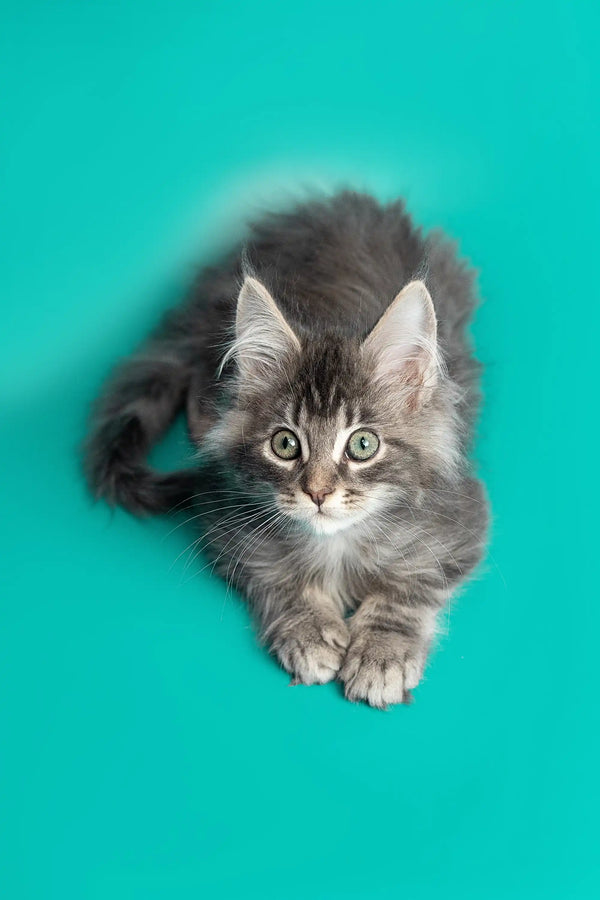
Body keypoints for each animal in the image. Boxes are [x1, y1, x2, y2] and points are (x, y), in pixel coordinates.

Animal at [84, 192, 488, 712]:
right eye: (285, 444)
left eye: (363, 444)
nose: (317, 493)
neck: (337, 544)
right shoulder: (228, 523)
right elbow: (277, 577)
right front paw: (309, 631)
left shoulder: (461, 522)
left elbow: (407, 588)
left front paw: (381, 654)